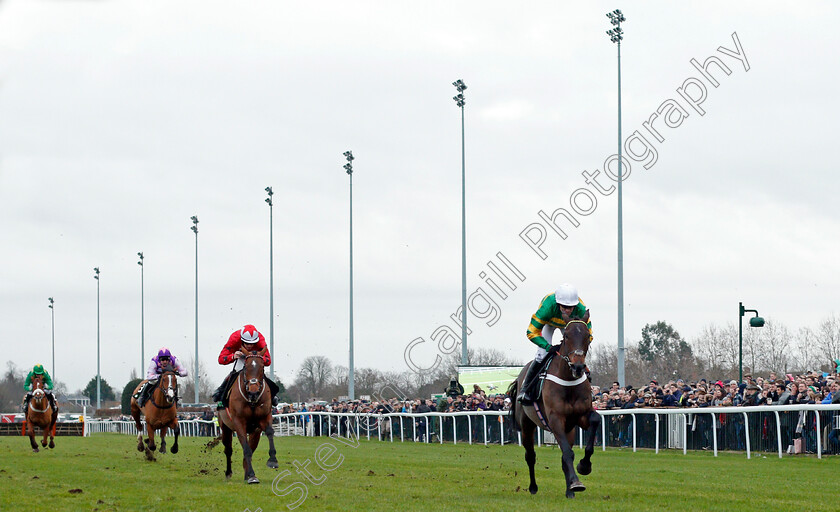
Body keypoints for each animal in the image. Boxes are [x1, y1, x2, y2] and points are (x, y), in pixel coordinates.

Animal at [217, 354, 278, 482]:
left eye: (262, 368)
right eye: (245, 367)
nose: (253, 392)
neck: (252, 401)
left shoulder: (263, 419)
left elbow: (269, 432)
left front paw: (272, 460)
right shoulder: (239, 422)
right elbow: (246, 448)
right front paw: (251, 474)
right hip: (225, 428)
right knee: (228, 450)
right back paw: (228, 473)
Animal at [508, 310, 600, 498]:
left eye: (587, 335)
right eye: (566, 335)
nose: (578, 367)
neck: (568, 381)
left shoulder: (580, 416)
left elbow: (595, 420)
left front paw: (584, 467)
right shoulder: (555, 419)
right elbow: (567, 453)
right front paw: (576, 482)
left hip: (569, 429)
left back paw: (569, 490)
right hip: (527, 424)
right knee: (530, 456)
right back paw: (533, 487)